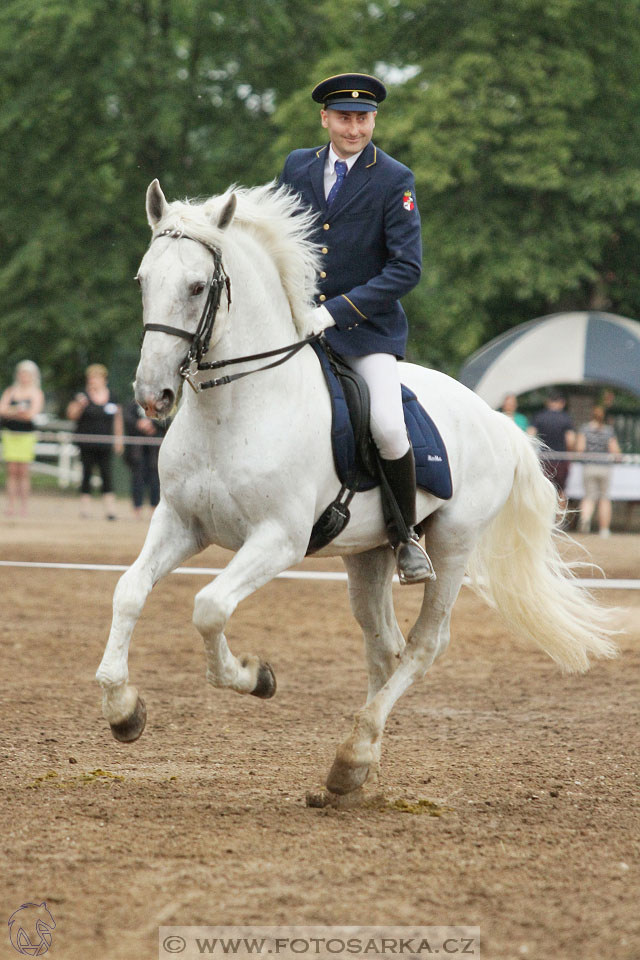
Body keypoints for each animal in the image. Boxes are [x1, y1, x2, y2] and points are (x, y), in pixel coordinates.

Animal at [95, 180, 616, 796]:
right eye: (142, 280)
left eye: (198, 287)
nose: (151, 396)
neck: (235, 407)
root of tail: (494, 419)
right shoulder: (180, 523)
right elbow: (129, 589)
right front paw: (123, 709)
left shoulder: (277, 540)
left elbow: (209, 606)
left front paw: (255, 676)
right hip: (367, 555)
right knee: (383, 645)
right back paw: (359, 762)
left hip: (453, 542)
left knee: (424, 644)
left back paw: (353, 754)